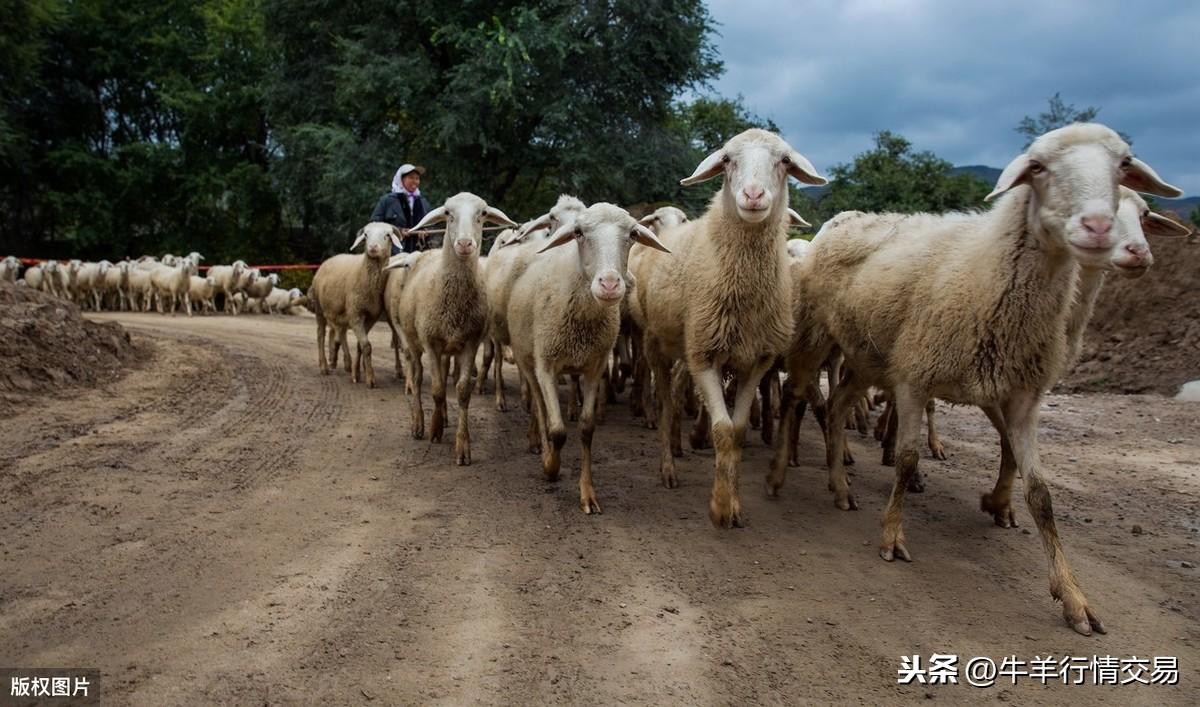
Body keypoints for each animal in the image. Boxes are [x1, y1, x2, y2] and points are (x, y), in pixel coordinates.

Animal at [309, 220, 403, 386]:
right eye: (366, 234)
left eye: (387, 235)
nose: (373, 248)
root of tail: (330, 259)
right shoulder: (355, 314)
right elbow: (366, 345)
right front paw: (370, 378)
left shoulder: (370, 316)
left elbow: (361, 344)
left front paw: (357, 372)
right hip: (320, 309)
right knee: (320, 334)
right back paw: (324, 366)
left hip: (340, 312)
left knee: (340, 334)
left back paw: (345, 363)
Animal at [393, 189, 516, 463]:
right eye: (448, 213)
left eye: (483, 213)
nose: (465, 244)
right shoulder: (431, 342)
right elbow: (438, 390)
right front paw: (434, 429)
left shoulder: (470, 343)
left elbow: (461, 391)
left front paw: (462, 446)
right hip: (414, 341)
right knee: (417, 378)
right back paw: (419, 423)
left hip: (451, 348)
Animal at [506, 201, 672, 508]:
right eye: (579, 233)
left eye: (633, 234)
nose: (609, 284)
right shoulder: (546, 366)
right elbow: (557, 430)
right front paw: (551, 466)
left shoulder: (595, 366)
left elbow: (586, 429)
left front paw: (588, 494)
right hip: (528, 360)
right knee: (539, 406)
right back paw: (541, 445)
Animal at [792, 122, 1176, 633]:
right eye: (1038, 167)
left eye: (1124, 167)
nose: (1102, 230)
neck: (991, 273)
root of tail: (848, 219)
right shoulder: (915, 376)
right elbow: (909, 459)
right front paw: (892, 534)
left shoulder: (1019, 394)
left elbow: (1039, 491)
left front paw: (1070, 592)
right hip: (823, 340)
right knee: (816, 401)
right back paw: (835, 480)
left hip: (867, 357)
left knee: (835, 407)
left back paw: (841, 480)